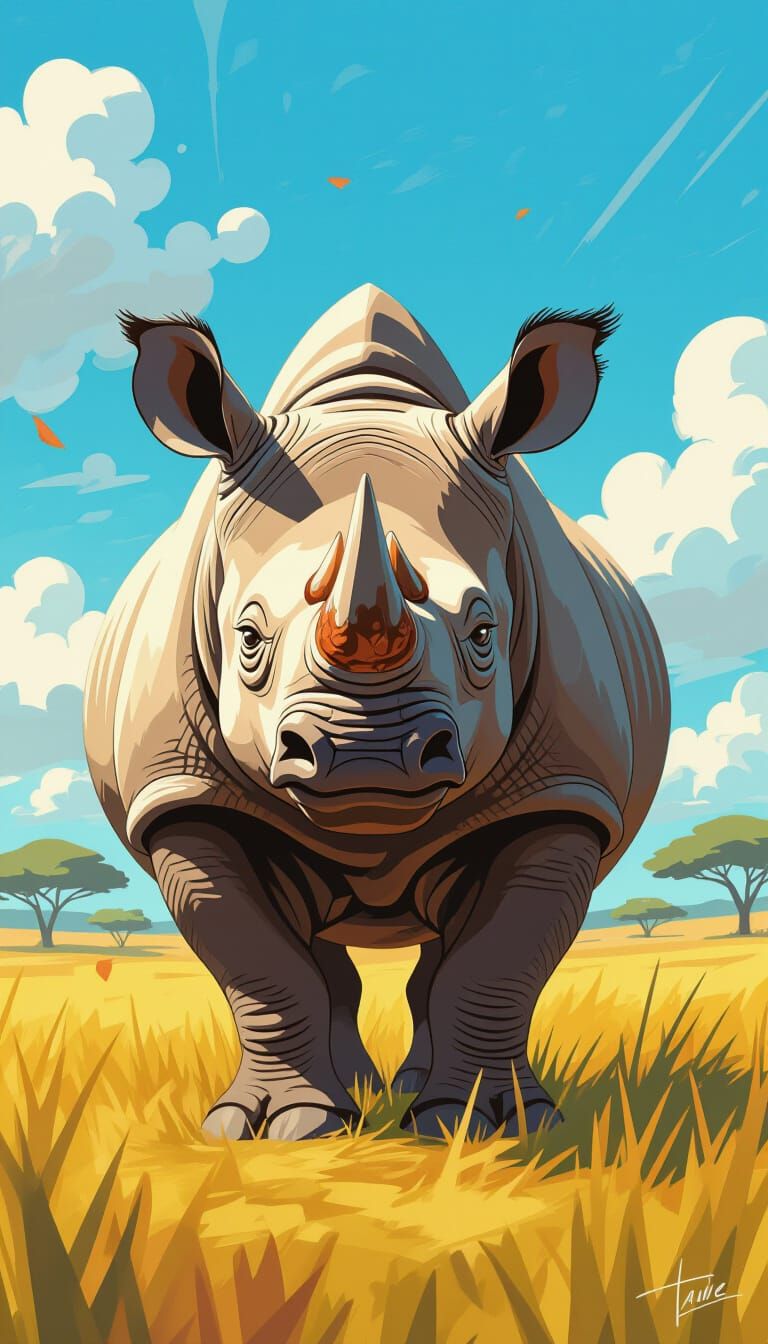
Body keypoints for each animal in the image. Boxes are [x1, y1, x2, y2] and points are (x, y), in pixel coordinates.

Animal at [84, 285, 670, 1142]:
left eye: (484, 633)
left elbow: (499, 962)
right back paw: (355, 1095)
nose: (371, 755)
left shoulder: (563, 792)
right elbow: (260, 964)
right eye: (247, 636)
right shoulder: (181, 795)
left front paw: (488, 1126)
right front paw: (282, 1127)